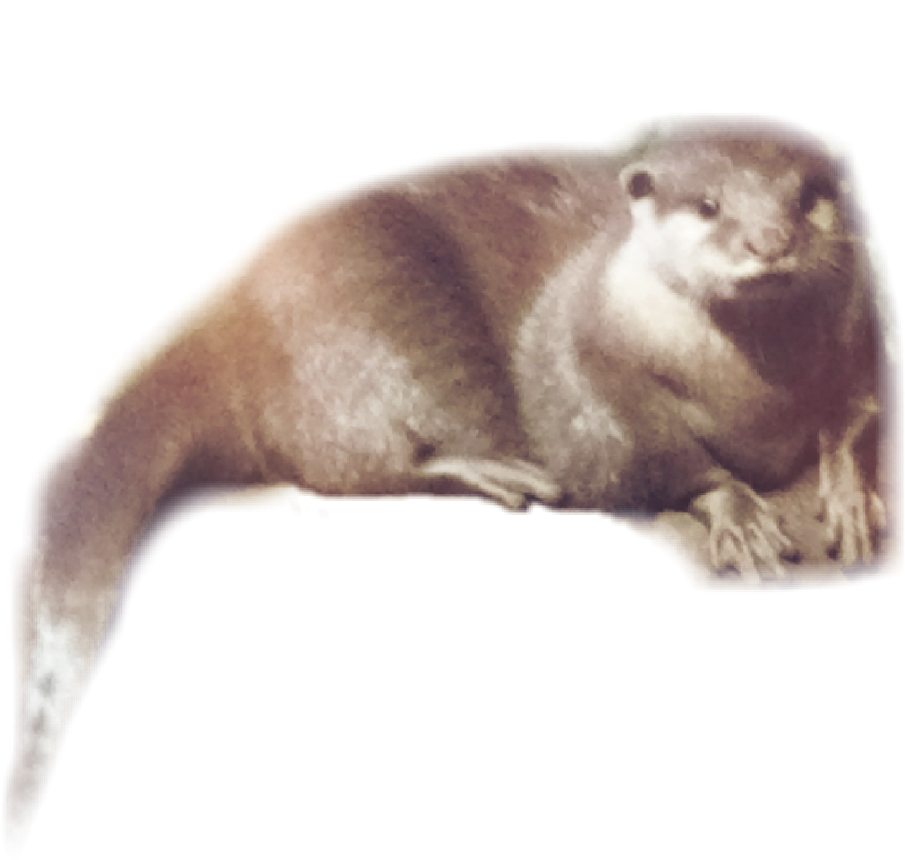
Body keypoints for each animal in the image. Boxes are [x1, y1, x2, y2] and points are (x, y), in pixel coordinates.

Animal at [3, 113, 897, 855]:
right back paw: (492, 470)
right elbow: (644, 460)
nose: (768, 239)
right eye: (707, 204)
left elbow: (859, 414)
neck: (755, 389)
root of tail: (229, 300)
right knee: (345, 459)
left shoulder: (859, 336)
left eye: (807, 196)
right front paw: (737, 512)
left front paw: (847, 498)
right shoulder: (584, 372)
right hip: (358, 337)